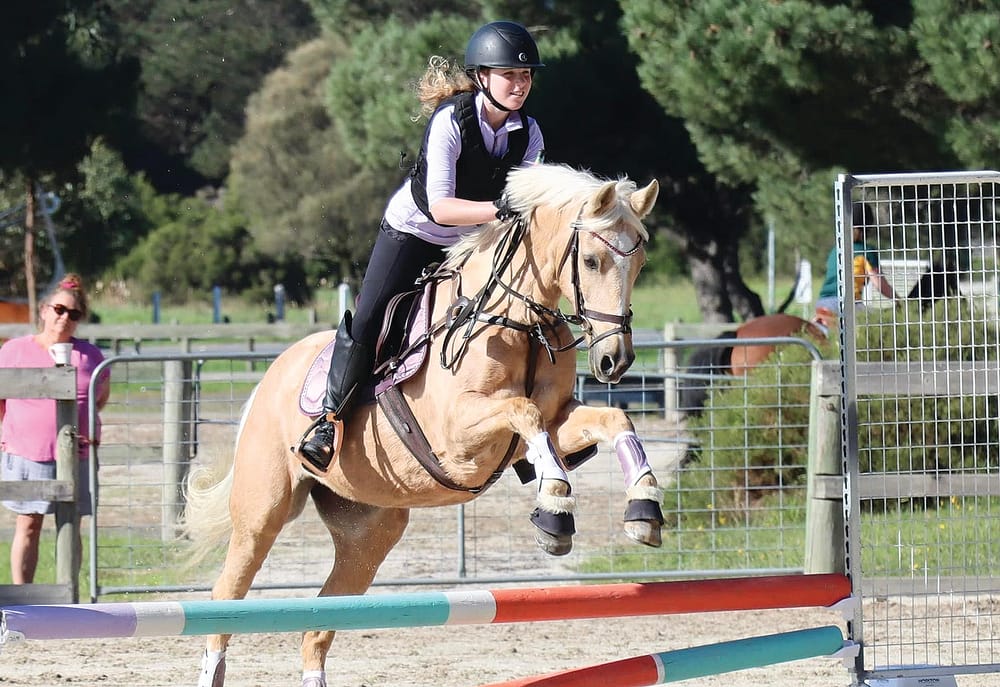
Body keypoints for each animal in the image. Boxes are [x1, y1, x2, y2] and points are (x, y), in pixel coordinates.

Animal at [180, 164, 661, 687]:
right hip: (262, 514)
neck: (516, 320)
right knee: (226, 597)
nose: (615, 361)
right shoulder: (460, 439)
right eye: (592, 261)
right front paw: (554, 509)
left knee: (317, 627)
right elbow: (523, 411)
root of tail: (271, 375)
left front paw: (644, 508)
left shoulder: (551, 426)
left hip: (368, 533)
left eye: (640, 264)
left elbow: (611, 418)